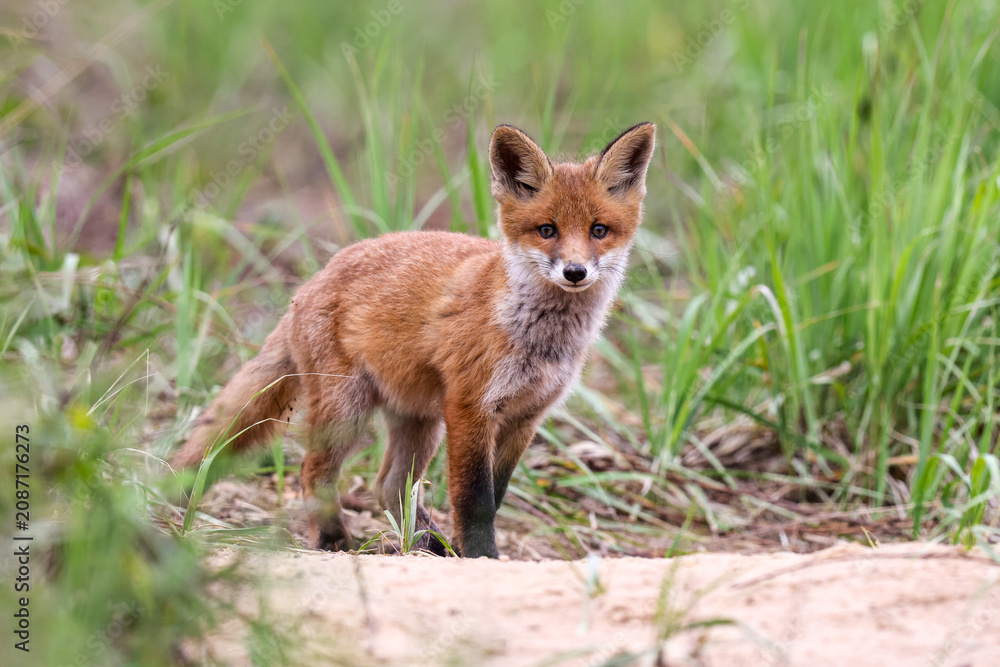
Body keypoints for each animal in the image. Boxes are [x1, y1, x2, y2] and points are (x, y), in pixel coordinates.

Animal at [172, 122, 656, 558]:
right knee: (315, 474)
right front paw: (482, 557)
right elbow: (475, 500)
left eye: (598, 230)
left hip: (419, 421)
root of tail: (310, 283)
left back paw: (429, 544)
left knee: (388, 487)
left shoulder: (525, 417)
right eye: (547, 230)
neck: (539, 339)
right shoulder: (470, 407)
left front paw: (466, 550)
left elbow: (496, 497)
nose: (575, 272)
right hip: (347, 411)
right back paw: (334, 539)